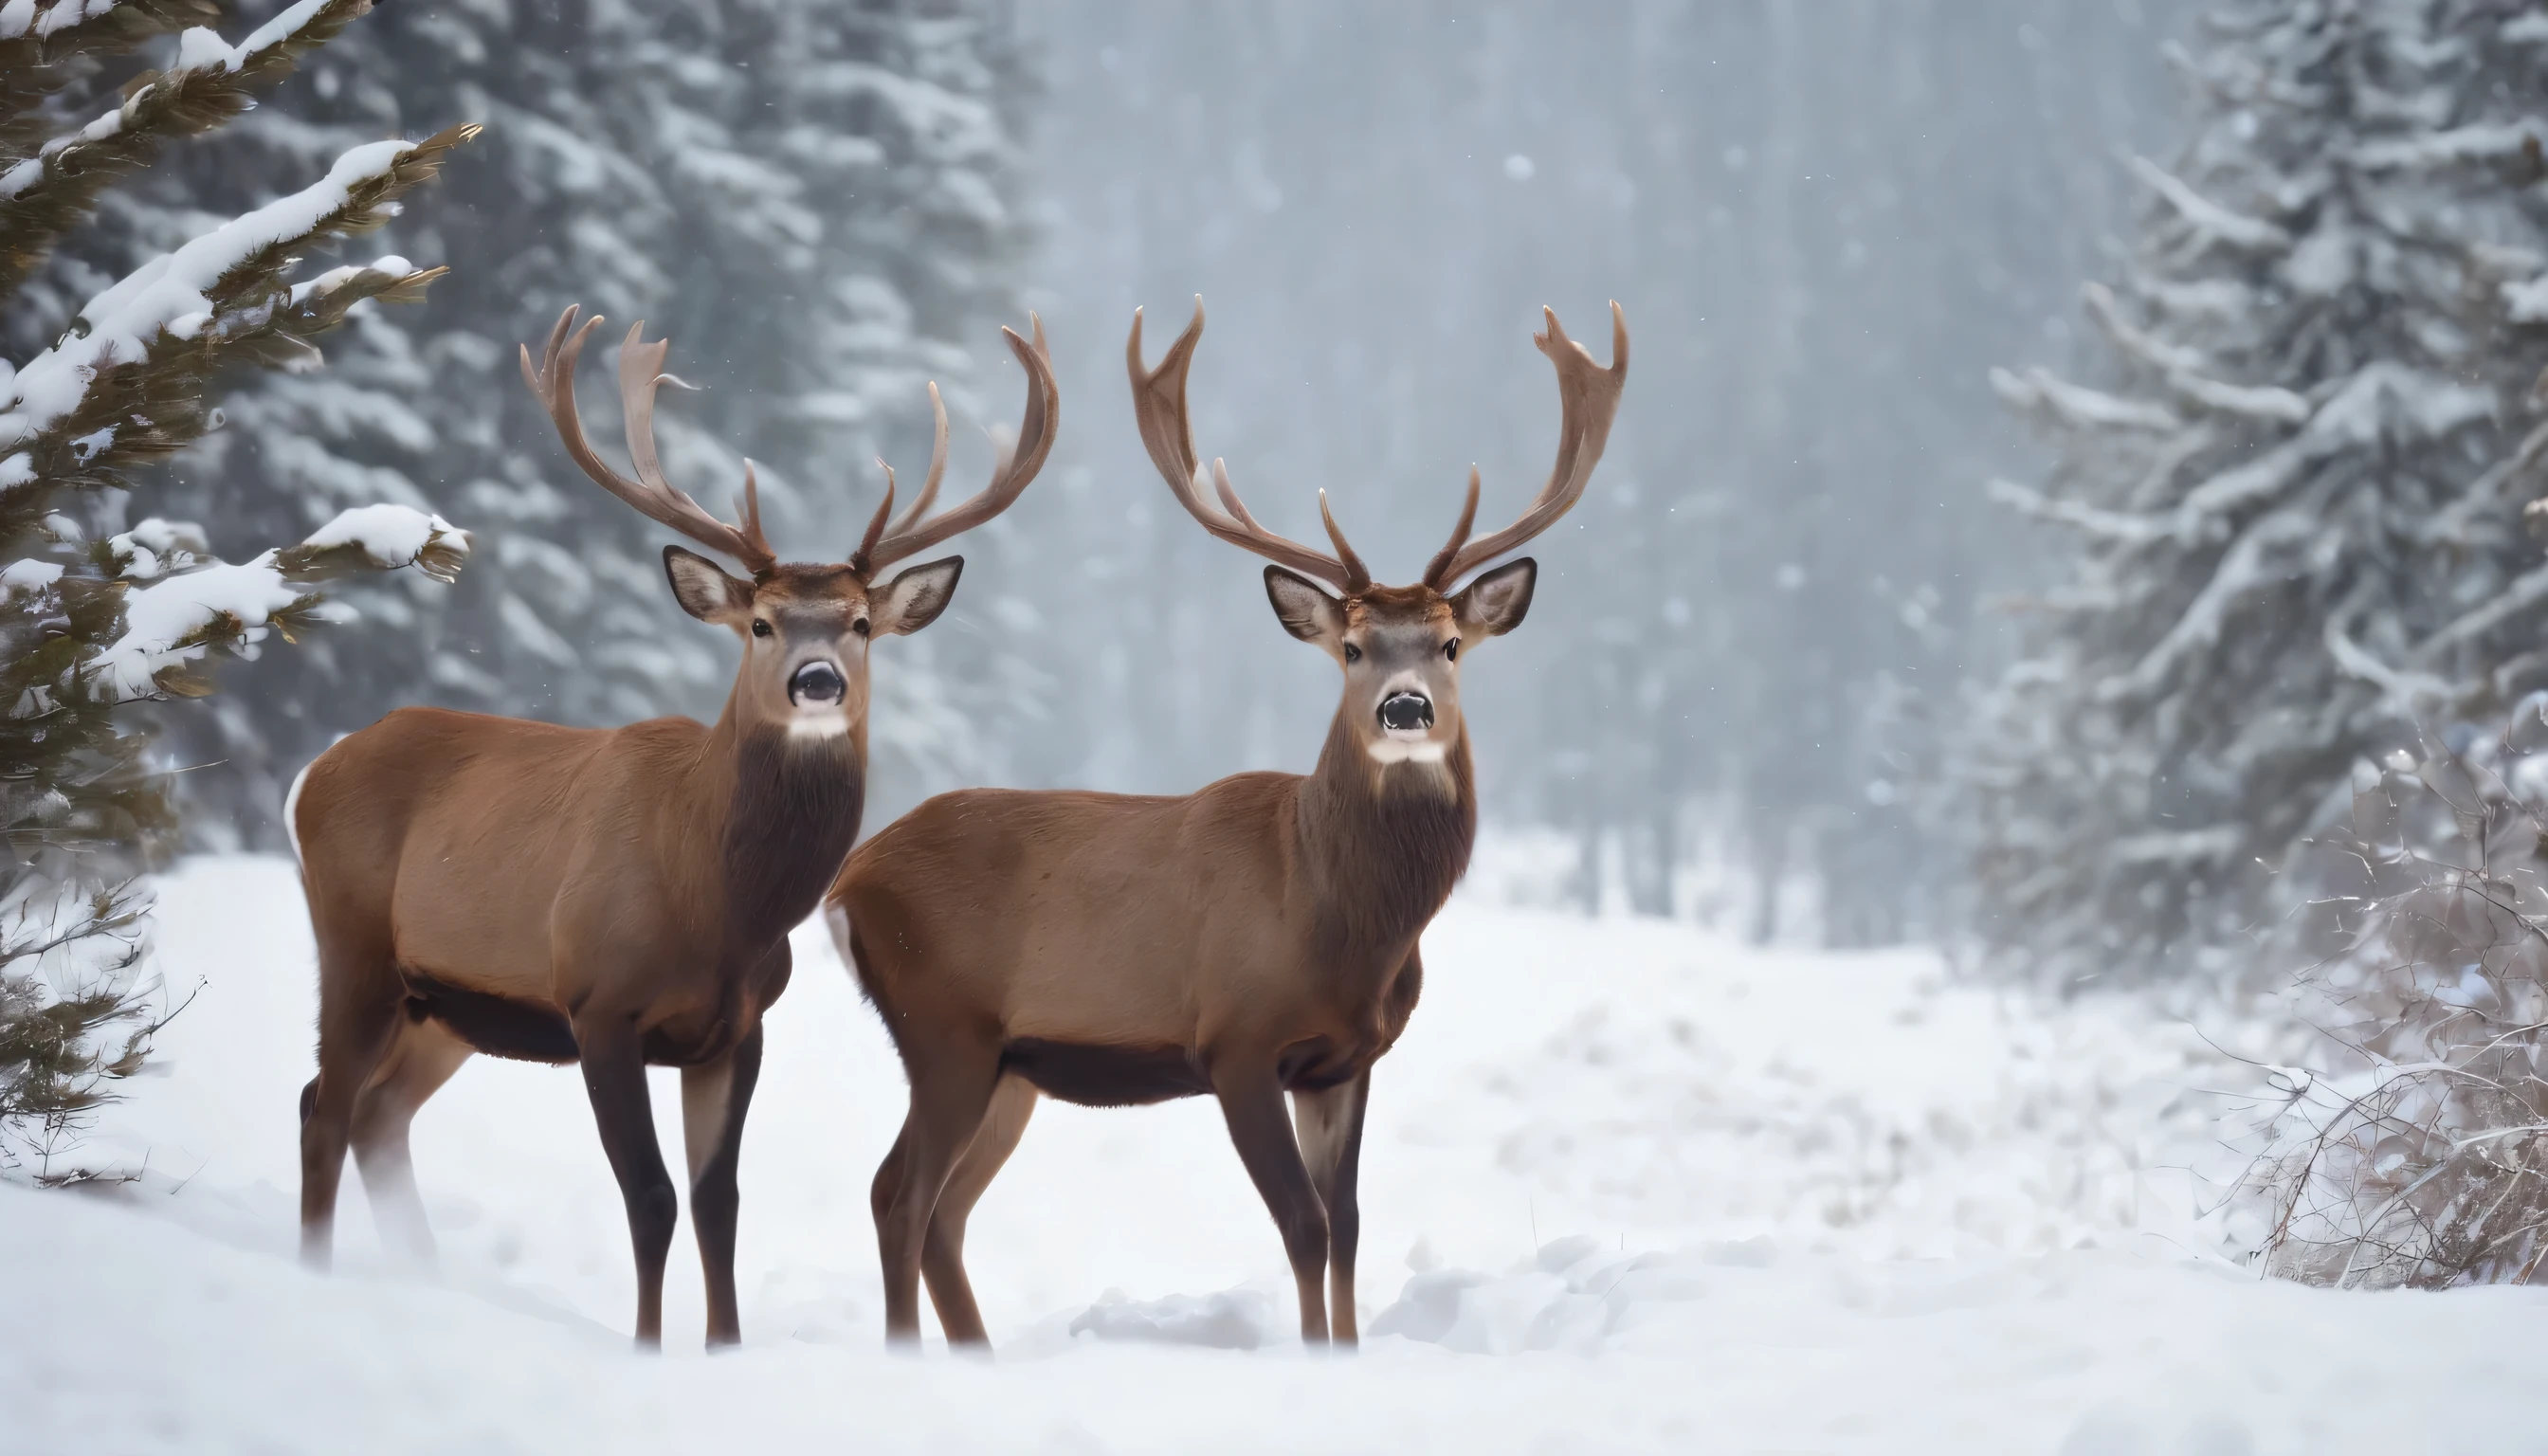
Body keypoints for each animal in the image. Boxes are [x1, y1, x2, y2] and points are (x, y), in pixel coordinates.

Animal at [286, 302, 1057, 1349]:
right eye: (762, 624)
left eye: (859, 623)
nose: (819, 681)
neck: (716, 908)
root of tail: (317, 769)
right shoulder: (597, 1001)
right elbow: (650, 1197)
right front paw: (651, 1347)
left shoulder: (737, 1027)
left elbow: (717, 1200)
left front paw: (721, 1346)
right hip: (355, 943)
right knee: (322, 1107)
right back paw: (317, 1275)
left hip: (445, 1004)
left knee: (374, 1116)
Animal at [825, 298, 1626, 1350]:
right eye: (1353, 648)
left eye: (1452, 643)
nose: (1406, 707)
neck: (1338, 918)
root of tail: (847, 883)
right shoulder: (1237, 1038)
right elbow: (1304, 1224)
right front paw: (1316, 1357)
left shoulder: (1344, 1062)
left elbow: (1350, 1225)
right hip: (942, 1023)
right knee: (898, 1194)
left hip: (1008, 1063)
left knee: (945, 1213)